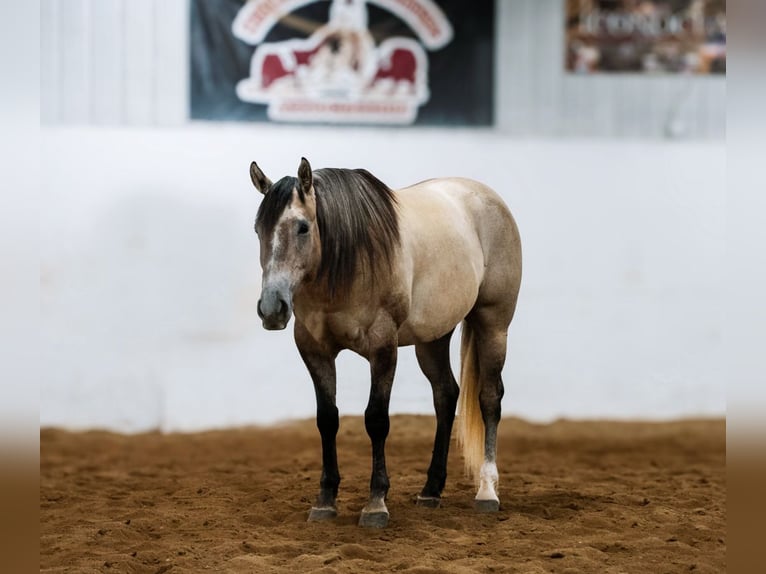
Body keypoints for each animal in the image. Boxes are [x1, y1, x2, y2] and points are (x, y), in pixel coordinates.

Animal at [250, 155, 520, 528]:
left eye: (303, 227)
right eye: (258, 229)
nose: (271, 308)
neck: (348, 263)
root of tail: (489, 198)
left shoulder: (383, 348)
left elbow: (376, 419)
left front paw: (376, 503)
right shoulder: (315, 351)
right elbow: (327, 419)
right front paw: (325, 501)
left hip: (493, 325)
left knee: (490, 398)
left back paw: (487, 491)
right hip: (433, 337)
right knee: (446, 396)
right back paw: (431, 491)